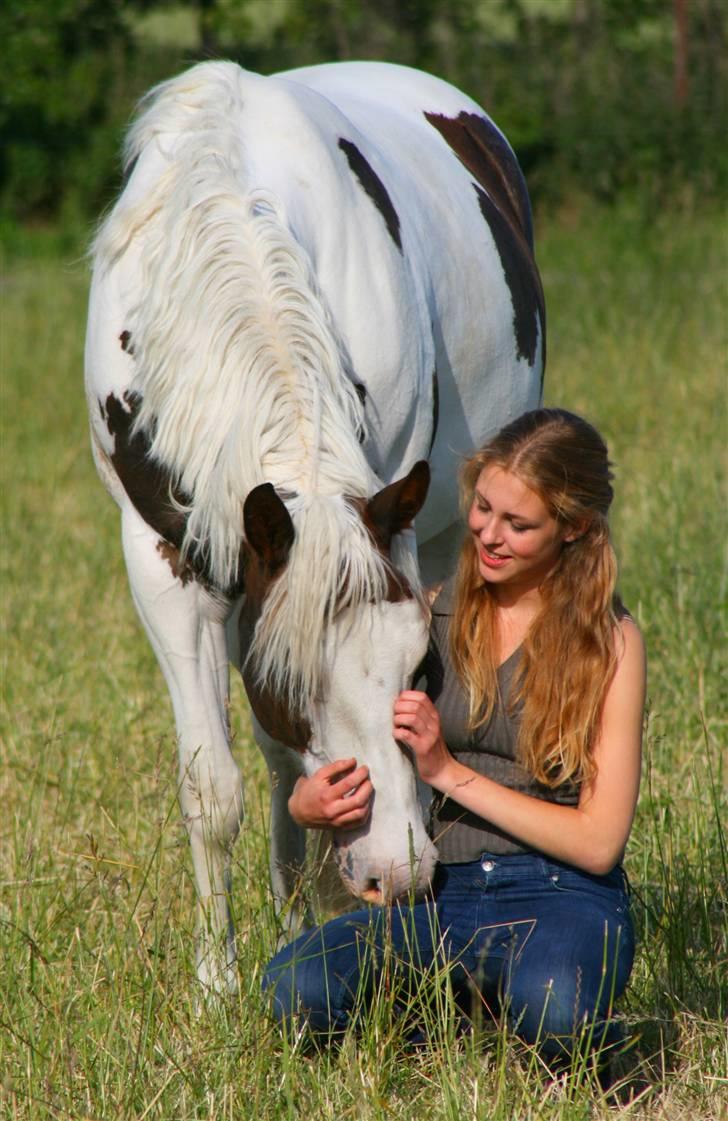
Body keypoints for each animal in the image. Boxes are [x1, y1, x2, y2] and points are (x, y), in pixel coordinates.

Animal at [82, 59, 542, 990]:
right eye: (294, 676)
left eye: (422, 664)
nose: (396, 871)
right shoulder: (167, 562)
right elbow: (213, 785)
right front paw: (217, 982)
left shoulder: (390, 526)